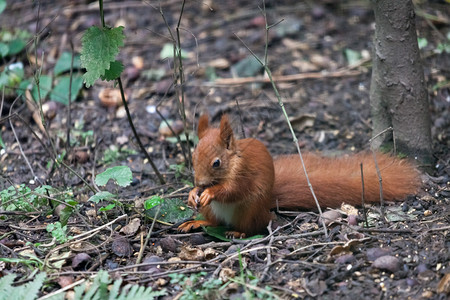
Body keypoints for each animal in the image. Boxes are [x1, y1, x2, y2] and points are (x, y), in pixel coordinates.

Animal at [178, 113, 420, 238]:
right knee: (214, 221)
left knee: (254, 227)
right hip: (215, 212)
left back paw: (238, 233)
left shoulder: (244, 173)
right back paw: (197, 223)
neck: (233, 162)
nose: (200, 182)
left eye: (216, 163)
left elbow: (233, 190)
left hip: (249, 210)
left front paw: (210, 192)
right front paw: (193, 193)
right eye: (193, 156)